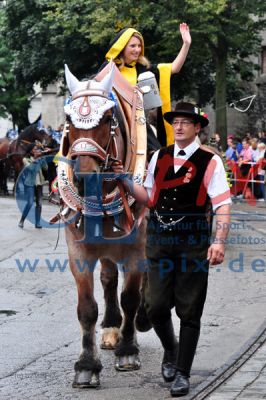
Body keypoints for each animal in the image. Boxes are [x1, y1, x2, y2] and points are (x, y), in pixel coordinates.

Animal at [57, 64, 148, 390]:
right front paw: (86, 366)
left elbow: (131, 297)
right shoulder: (79, 250)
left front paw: (128, 350)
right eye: (68, 120)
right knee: (108, 279)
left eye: (108, 119)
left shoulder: (136, 247)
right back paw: (110, 328)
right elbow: (87, 308)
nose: (85, 179)